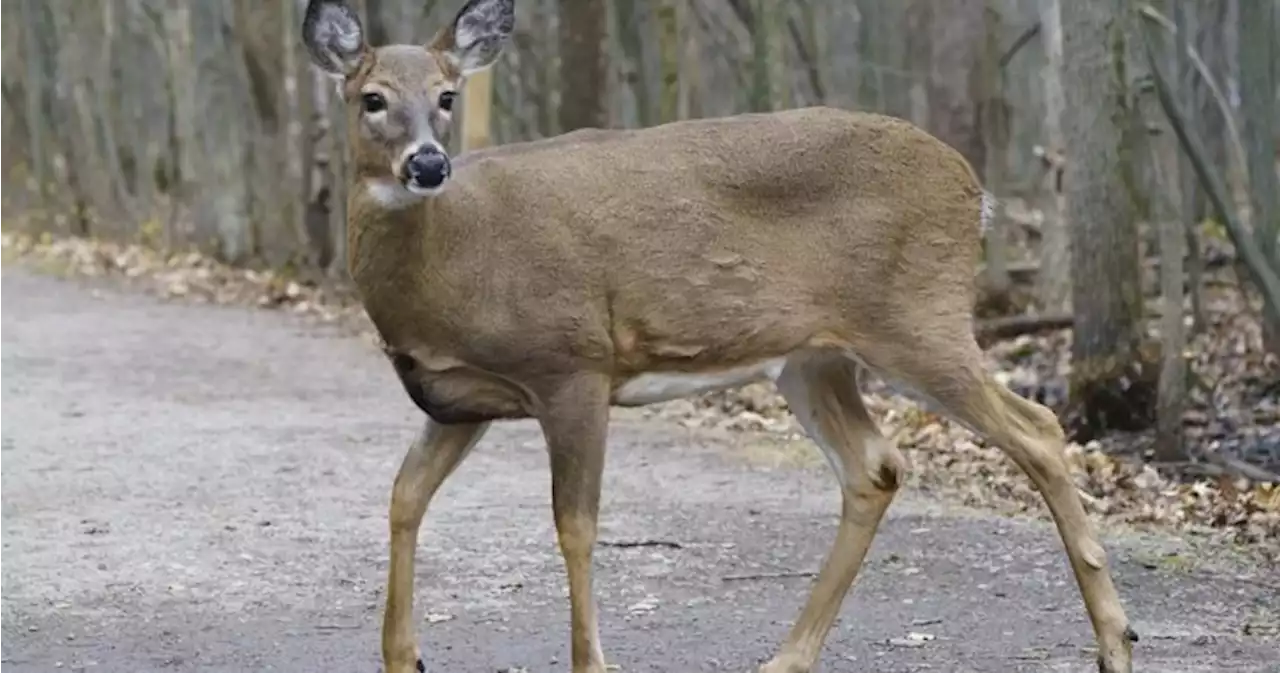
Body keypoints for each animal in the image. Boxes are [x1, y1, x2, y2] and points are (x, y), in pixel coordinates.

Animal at [302, 1, 1141, 673]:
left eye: (447, 97)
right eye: (372, 98)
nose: (428, 163)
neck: (454, 262)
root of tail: (975, 188)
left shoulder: (572, 362)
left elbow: (576, 525)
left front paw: (592, 662)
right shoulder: (464, 397)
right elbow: (403, 495)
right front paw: (401, 655)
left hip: (916, 316)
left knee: (1038, 427)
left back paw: (1116, 640)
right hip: (814, 358)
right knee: (875, 466)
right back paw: (786, 655)